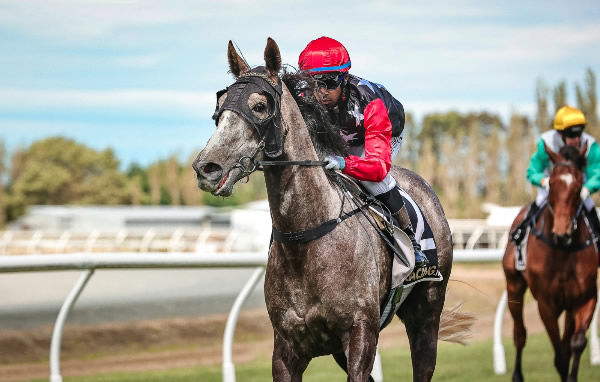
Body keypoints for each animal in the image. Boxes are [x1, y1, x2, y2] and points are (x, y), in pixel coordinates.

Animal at [504, 142, 596, 380]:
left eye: (579, 186)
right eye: (552, 183)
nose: (562, 233)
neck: (563, 250)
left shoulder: (586, 298)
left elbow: (575, 344)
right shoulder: (546, 304)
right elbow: (560, 357)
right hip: (514, 285)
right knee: (519, 334)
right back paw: (517, 375)